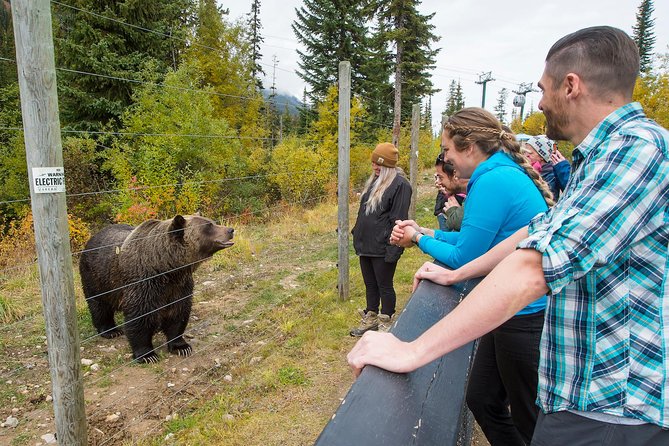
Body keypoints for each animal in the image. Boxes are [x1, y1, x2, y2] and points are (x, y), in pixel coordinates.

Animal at [79, 215, 234, 363]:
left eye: (212, 222)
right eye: (208, 226)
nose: (230, 230)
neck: (165, 268)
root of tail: (93, 237)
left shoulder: (179, 286)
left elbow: (178, 313)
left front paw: (181, 347)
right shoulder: (143, 284)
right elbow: (139, 318)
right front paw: (148, 355)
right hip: (96, 277)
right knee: (99, 304)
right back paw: (110, 331)